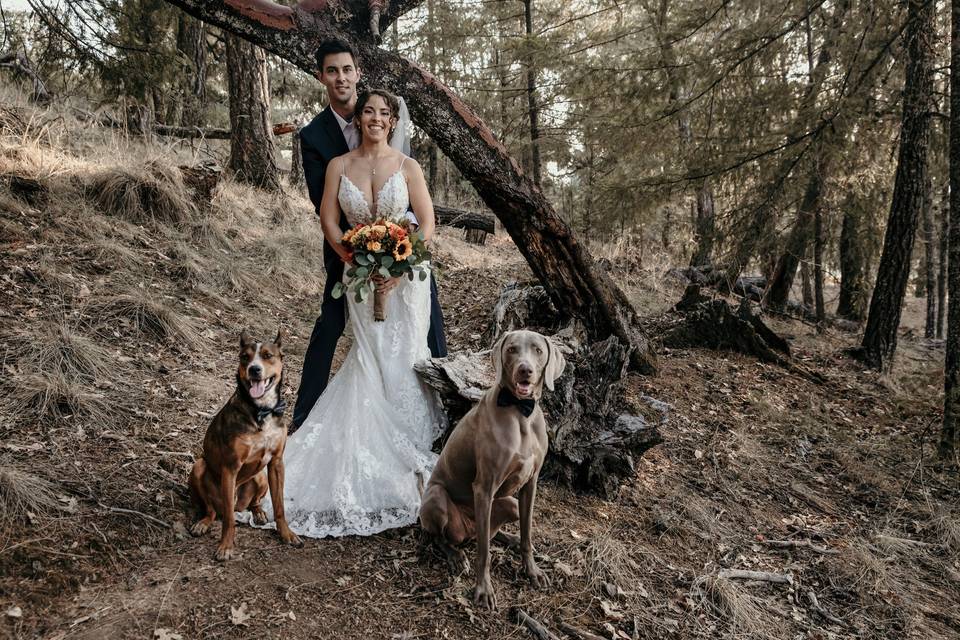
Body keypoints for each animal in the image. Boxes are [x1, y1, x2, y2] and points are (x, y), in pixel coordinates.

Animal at [189, 330, 302, 560]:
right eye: (244, 357)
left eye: (268, 355)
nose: (254, 369)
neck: (262, 411)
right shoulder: (231, 467)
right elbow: (229, 520)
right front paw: (225, 546)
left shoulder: (276, 463)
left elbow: (280, 506)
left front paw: (286, 533)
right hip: (199, 467)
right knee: (213, 510)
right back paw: (203, 523)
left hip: (260, 477)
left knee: (253, 502)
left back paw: (258, 513)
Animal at [418, 330, 564, 608]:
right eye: (512, 349)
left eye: (538, 350)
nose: (525, 370)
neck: (520, 412)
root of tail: (468, 531)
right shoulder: (484, 488)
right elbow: (483, 553)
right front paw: (484, 590)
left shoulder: (530, 484)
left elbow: (528, 534)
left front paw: (532, 571)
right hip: (436, 498)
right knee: (443, 537)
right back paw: (456, 556)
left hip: (509, 504)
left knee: (491, 533)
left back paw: (510, 538)